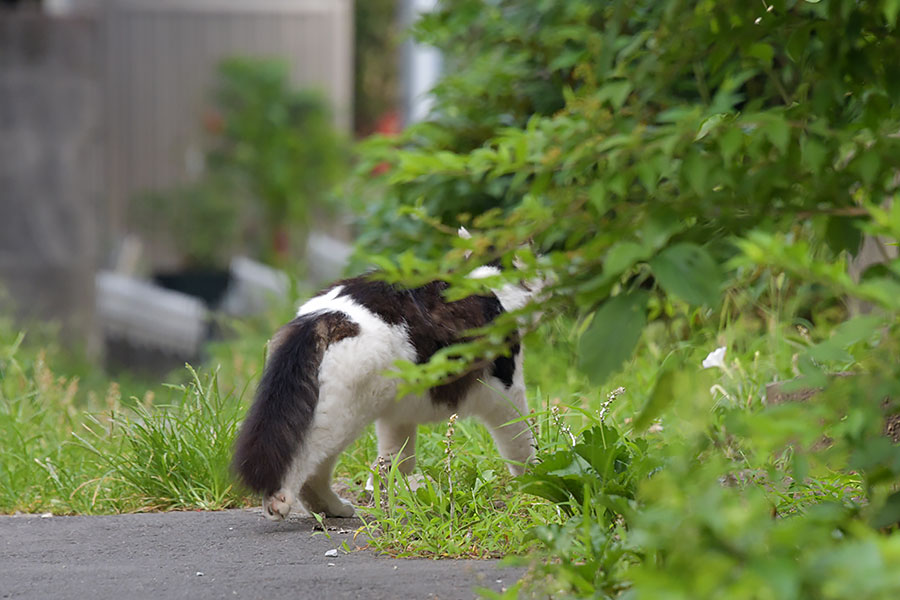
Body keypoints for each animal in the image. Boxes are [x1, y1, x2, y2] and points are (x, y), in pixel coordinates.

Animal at [232, 258, 536, 520]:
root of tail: (324, 316)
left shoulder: (398, 416)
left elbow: (396, 459)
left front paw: (389, 490)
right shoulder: (507, 392)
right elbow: (521, 443)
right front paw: (536, 481)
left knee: (313, 472)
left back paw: (332, 509)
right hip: (339, 419)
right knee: (305, 466)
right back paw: (284, 502)